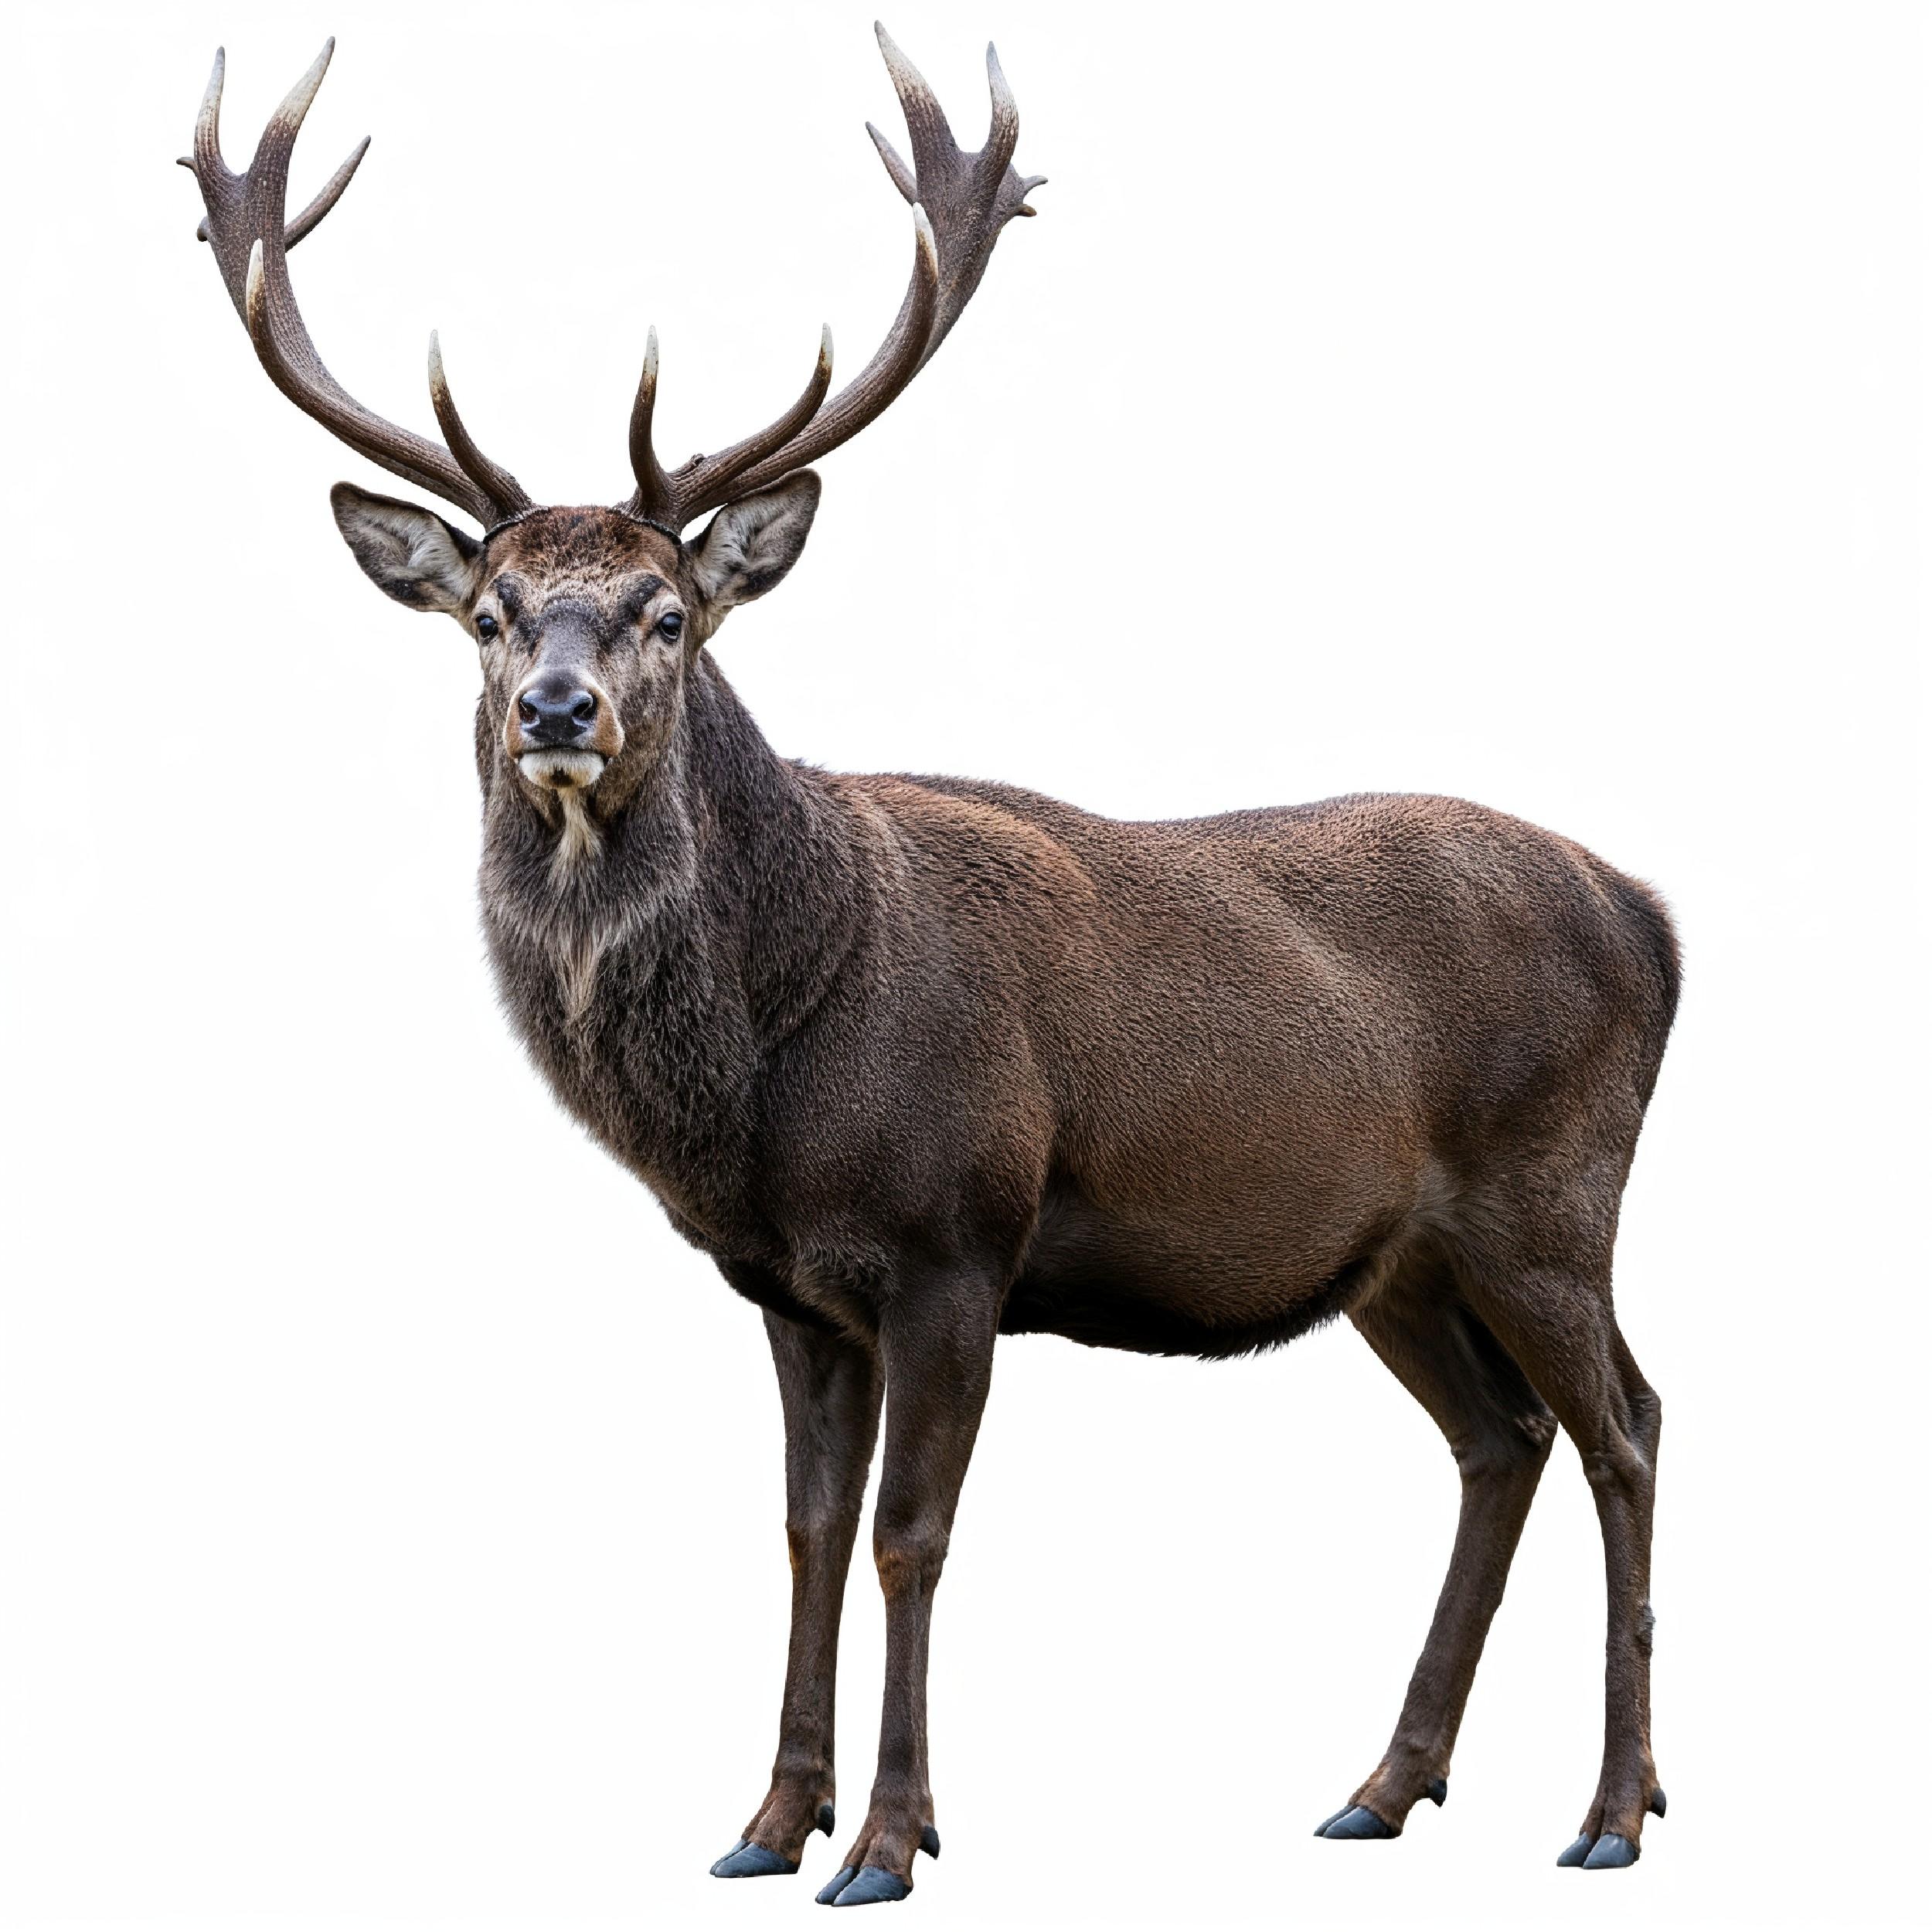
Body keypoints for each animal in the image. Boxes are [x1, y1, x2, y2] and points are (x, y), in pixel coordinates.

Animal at [181, 27, 1677, 1907]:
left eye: (669, 611)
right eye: (490, 614)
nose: (557, 709)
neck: (758, 1090)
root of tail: (1656, 916)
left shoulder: (953, 1236)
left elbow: (913, 1533)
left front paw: (890, 1839)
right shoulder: (784, 1284)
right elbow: (809, 1527)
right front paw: (766, 1821)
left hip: (1550, 1195)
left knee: (1629, 1426)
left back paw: (1612, 1807)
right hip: (1395, 1255)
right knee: (1501, 1438)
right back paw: (1384, 1783)